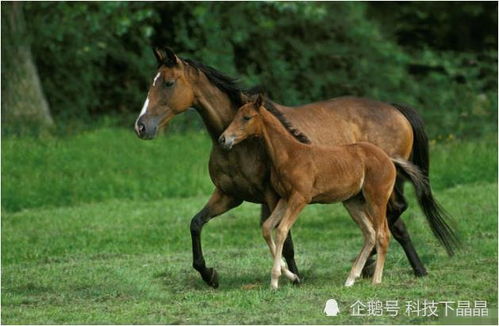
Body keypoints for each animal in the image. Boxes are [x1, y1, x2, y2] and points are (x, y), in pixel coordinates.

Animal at [220, 95, 430, 288]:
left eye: (246, 117)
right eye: (236, 115)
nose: (223, 139)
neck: (290, 154)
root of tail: (389, 158)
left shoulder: (300, 198)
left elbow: (281, 231)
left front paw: (275, 280)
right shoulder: (285, 199)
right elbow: (266, 227)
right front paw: (290, 275)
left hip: (376, 199)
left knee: (382, 234)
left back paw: (376, 280)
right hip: (353, 202)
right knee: (369, 234)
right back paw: (350, 279)